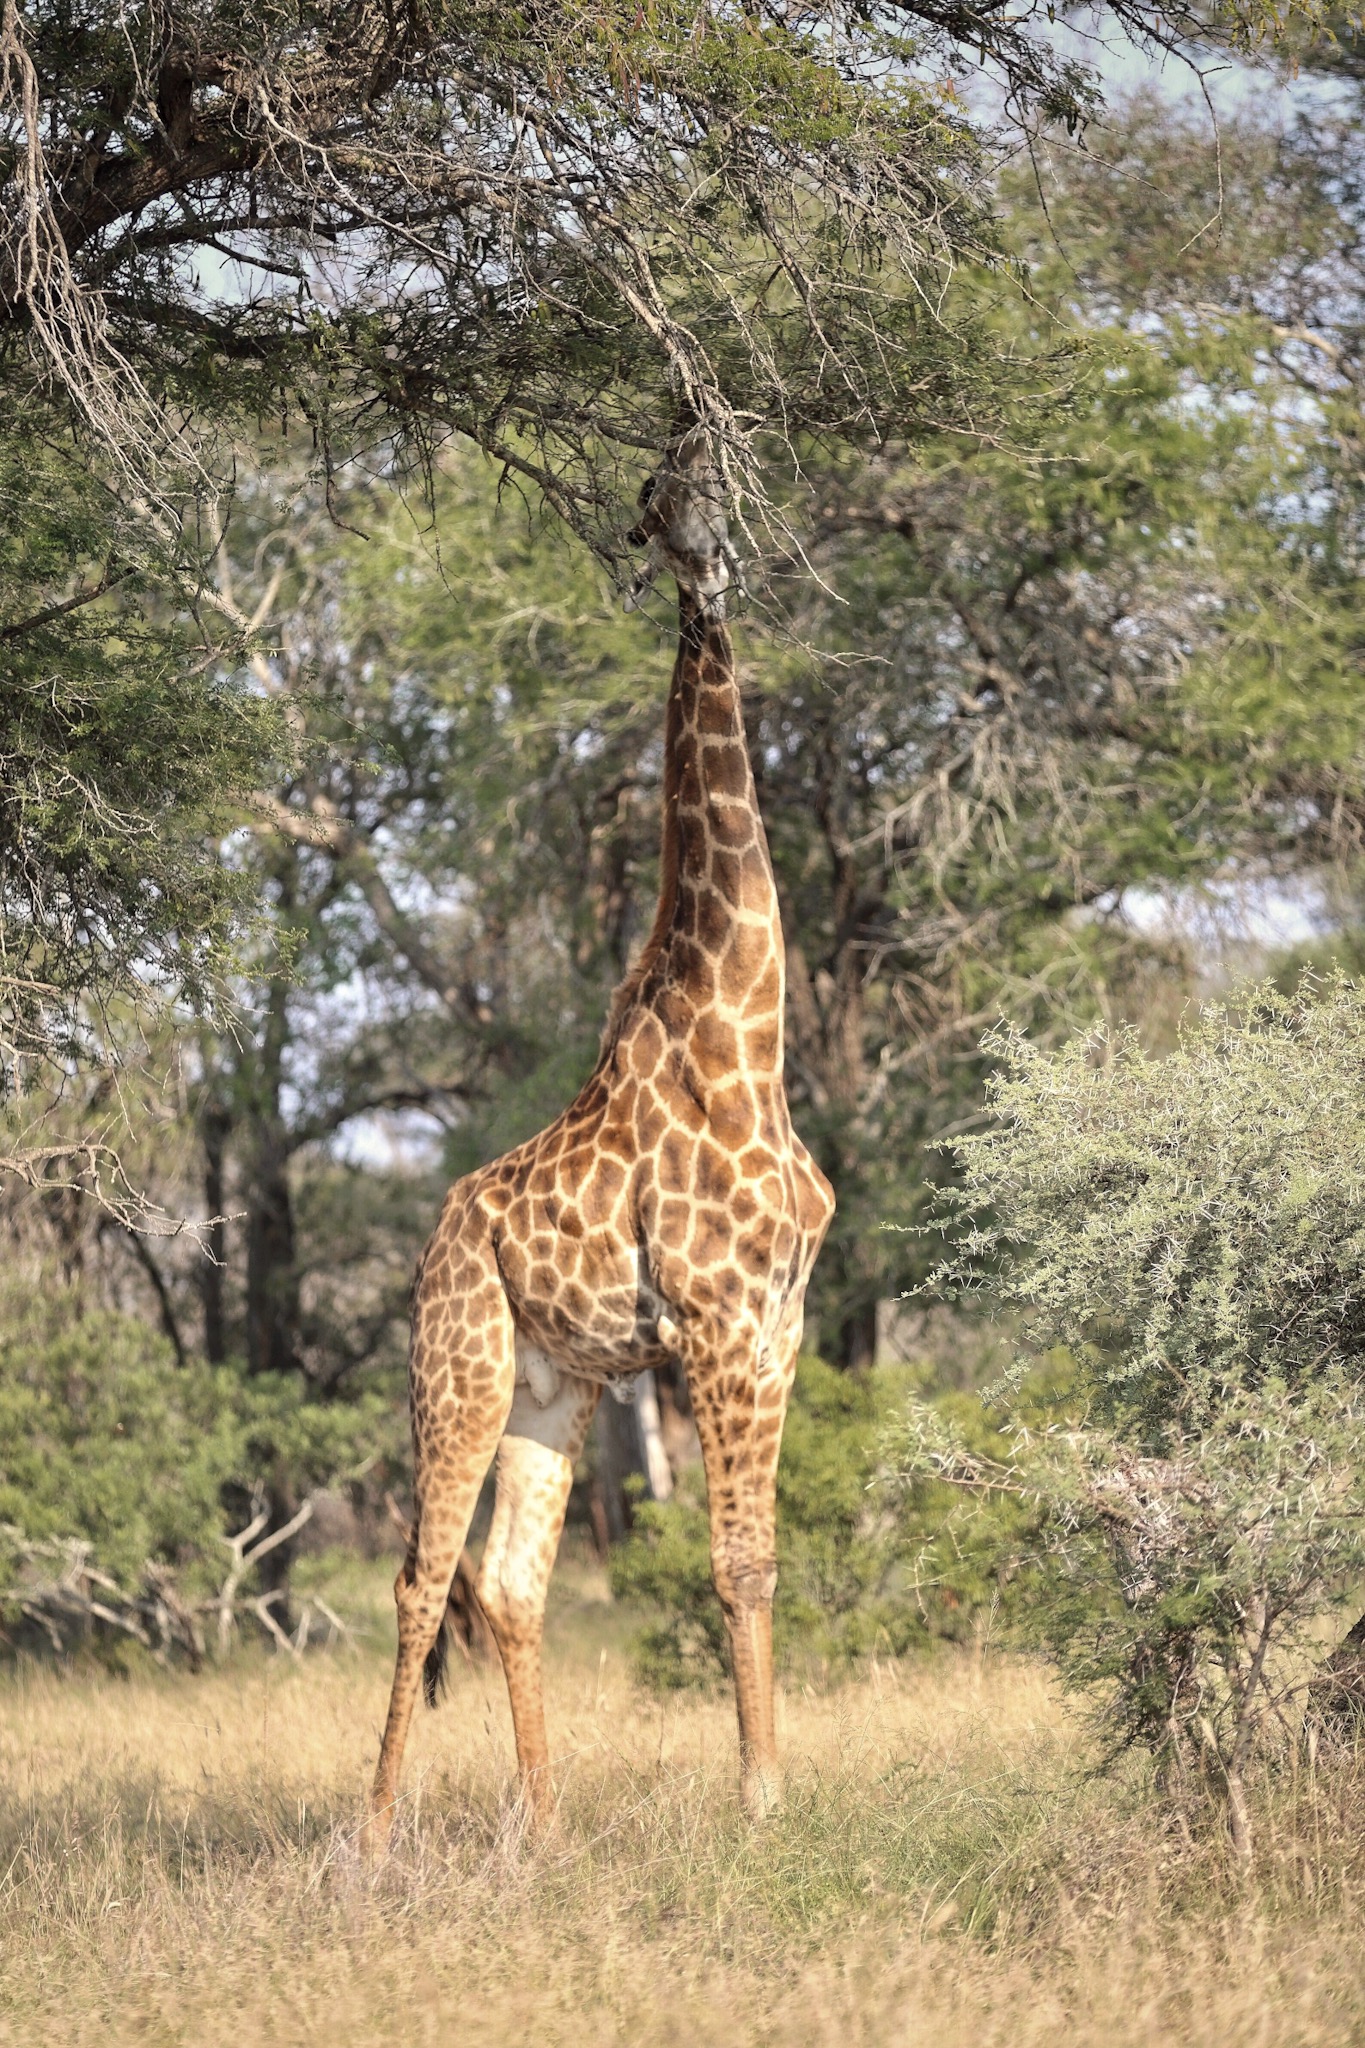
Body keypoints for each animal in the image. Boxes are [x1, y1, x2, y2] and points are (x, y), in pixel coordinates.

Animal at [365, 431, 835, 1847]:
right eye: (658, 498)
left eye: (715, 476)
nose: (708, 561)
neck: (747, 1023)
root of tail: (435, 1236)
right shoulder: (720, 1323)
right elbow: (734, 1562)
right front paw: (762, 1799)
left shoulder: (782, 1320)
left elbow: (764, 1558)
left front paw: (769, 1788)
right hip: (457, 1364)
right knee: (421, 1581)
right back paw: (368, 1835)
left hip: (551, 1384)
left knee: (509, 1582)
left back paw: (547, 1824)